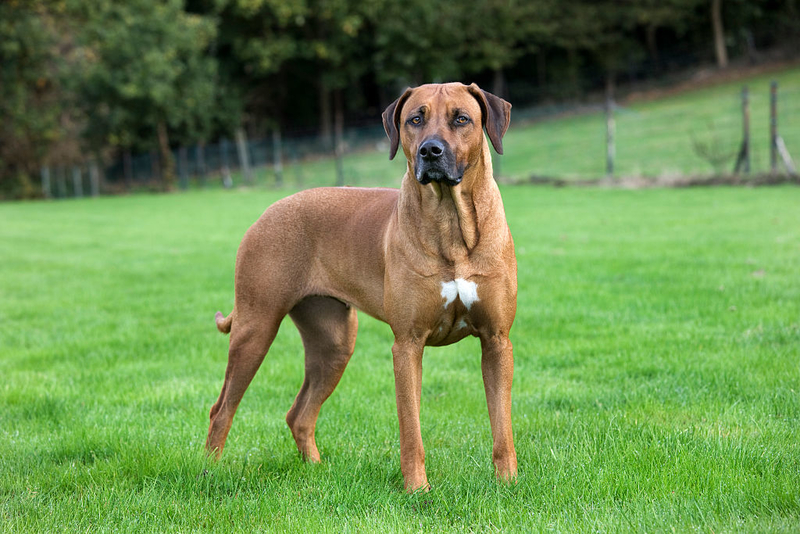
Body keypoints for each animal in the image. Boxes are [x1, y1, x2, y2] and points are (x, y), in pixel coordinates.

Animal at [206, 82, 520, 494]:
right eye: (414, 119)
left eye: (461, 119)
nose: (430, 151)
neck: (451, 222)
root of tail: (266, 213)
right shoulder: (407, 344)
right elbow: (411, 428)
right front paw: (417, 489)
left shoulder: (497, 340)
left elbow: (502, 425)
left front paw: (509, 483)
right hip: (255, 327)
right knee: (222, 408)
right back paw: (208, 472)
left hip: (334, 343)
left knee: (299, 414)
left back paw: (316, 470)